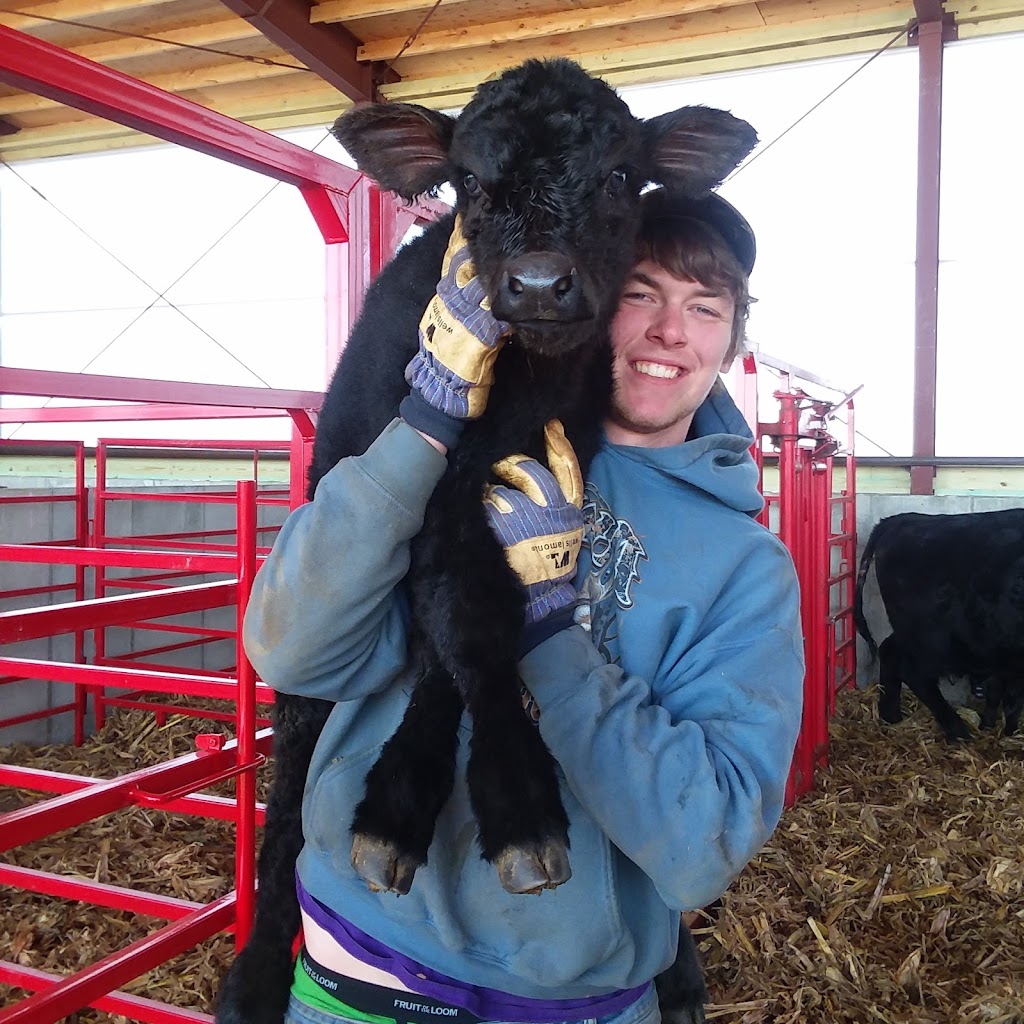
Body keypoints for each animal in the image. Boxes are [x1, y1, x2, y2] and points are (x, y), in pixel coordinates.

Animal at [854, 509, 1024, 741]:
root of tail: (903, 518)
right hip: (930, 638)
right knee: (914, 673)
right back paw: (958, 731)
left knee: (890, 651)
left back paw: (891, 716)